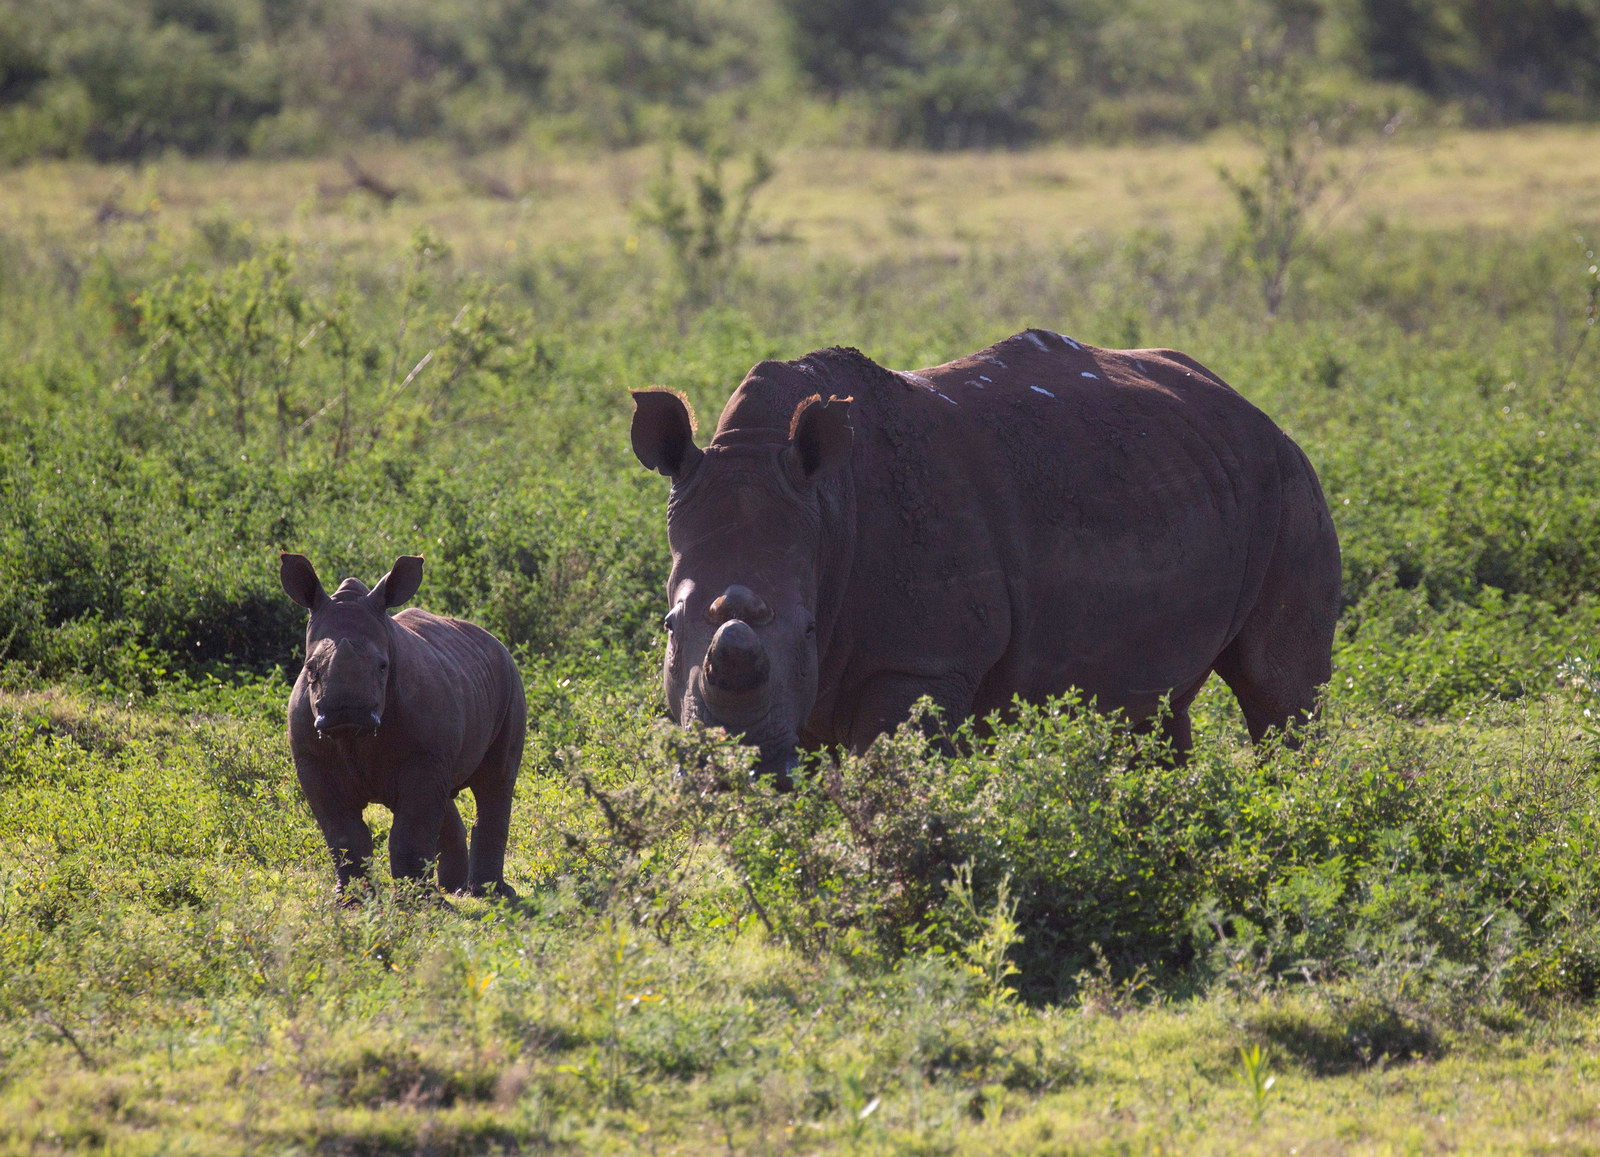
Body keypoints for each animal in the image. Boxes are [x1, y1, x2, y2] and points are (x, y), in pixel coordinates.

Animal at [278, 556, 521, 902]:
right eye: (310, 668)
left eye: (383, 667)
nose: (346, 712)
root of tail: (493, 639)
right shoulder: (312, 760)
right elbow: (342, 833)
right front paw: (350, 902)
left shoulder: (423, 755)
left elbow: (412, 829)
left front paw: (421, 905)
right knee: (444, 796)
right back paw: (455, 889)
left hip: (510, 678)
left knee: (495, 781)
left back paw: (489, 894)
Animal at [630, 329, 1344, 774]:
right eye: (667, 626)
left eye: (808, 629)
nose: (734, 766)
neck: (826, 509)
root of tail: (1251, 407)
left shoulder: (923, 663)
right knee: (1155, 709)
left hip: (1288, 482)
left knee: (1279, 694)